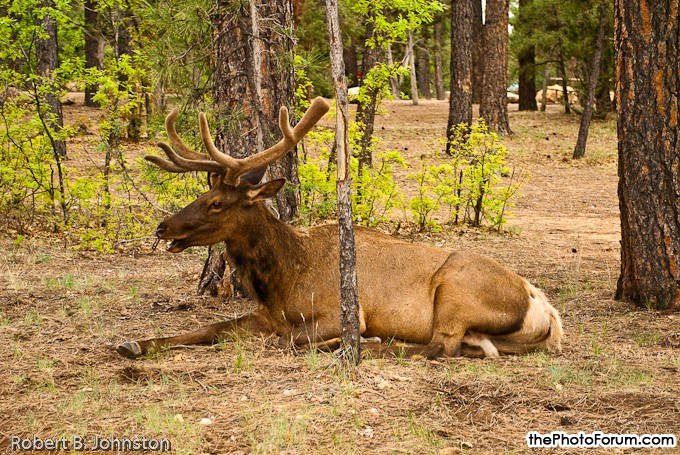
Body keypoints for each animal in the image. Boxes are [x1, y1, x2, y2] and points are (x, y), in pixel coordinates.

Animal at [118, 99, 564, 360]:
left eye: (216, 203)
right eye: (202, 193)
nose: (162, 227)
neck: (284, 277)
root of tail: (544, 308)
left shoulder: (341, 311)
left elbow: (289, 339)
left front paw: (347, 340)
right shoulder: (265, 315)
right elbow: (207, 327)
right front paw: (133, 344)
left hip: (456, 291)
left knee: (440, 346)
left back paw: (370, 345)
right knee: (473, 348)